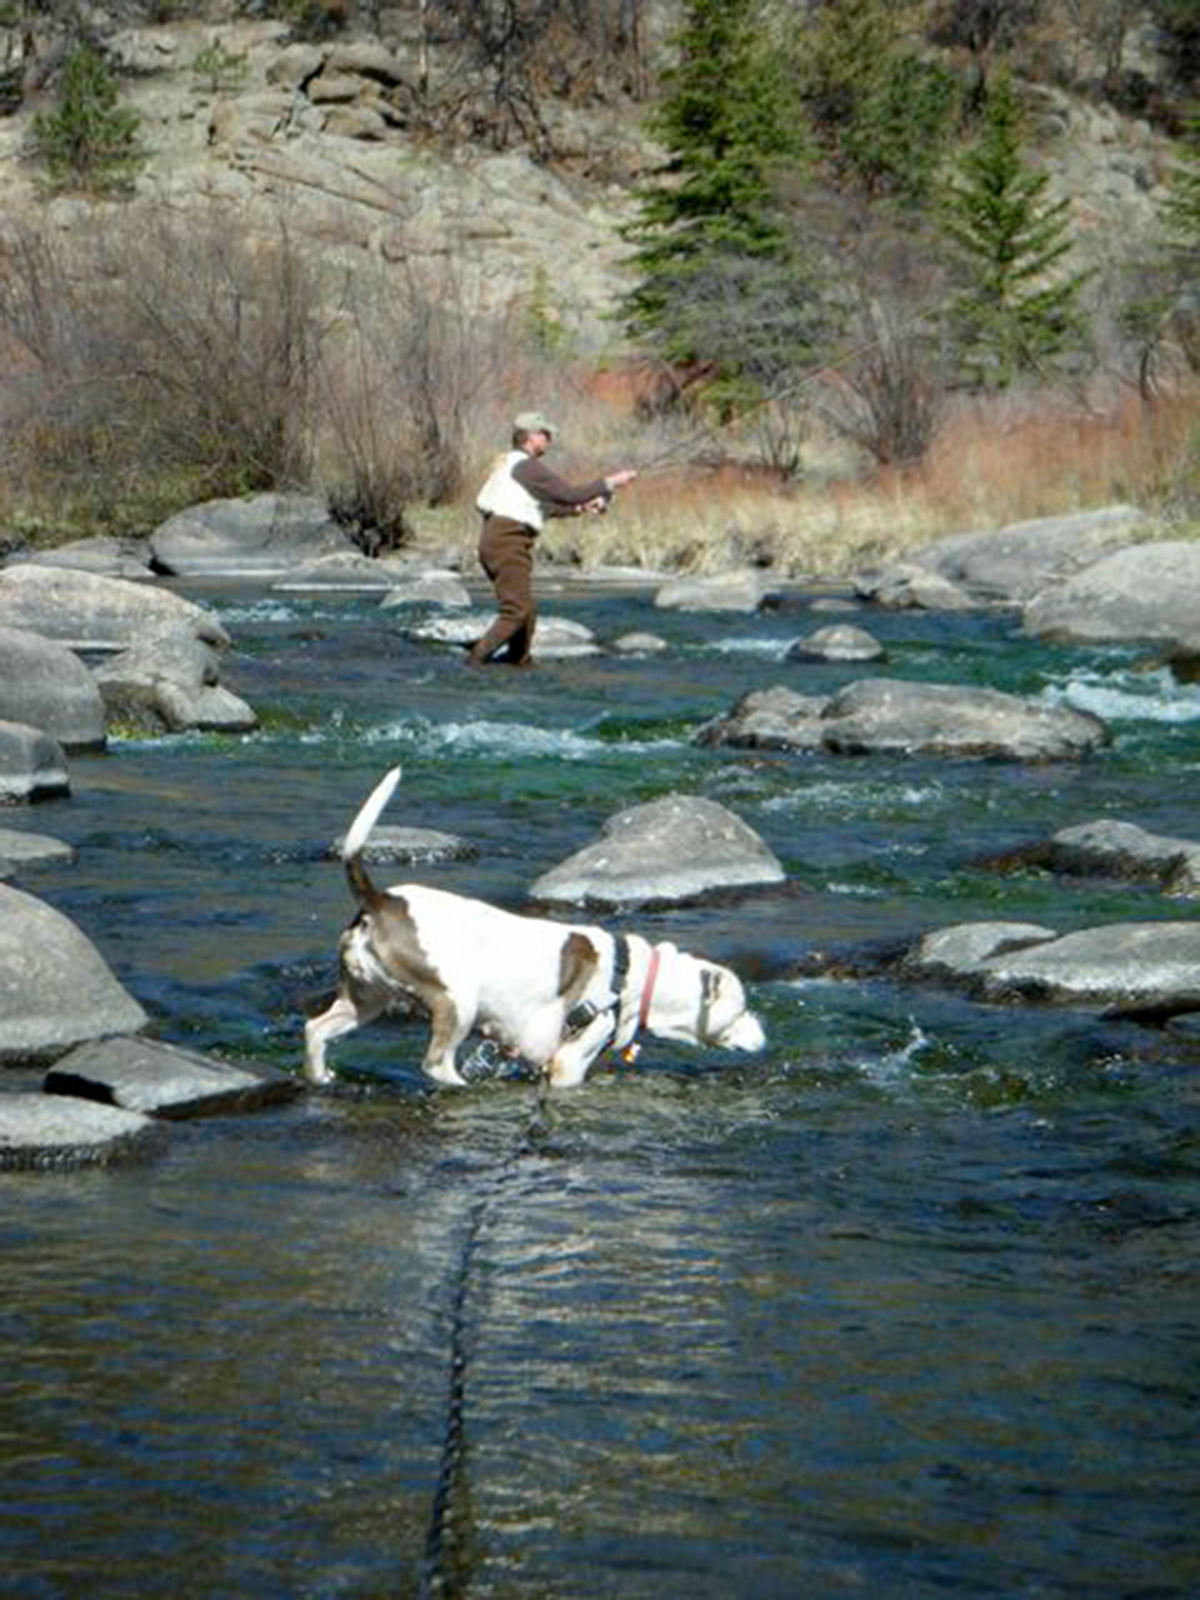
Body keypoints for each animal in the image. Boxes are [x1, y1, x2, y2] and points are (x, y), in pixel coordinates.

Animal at [305, 768, 764, 1094]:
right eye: (742, 1008)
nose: (765, 1036)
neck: (632, 982)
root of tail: (380, 900)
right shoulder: (568, 1061)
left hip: (367, 997)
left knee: (315, 1029)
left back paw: (320, 1077)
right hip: (456, 998)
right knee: (436, 1063)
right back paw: (462, 1086)